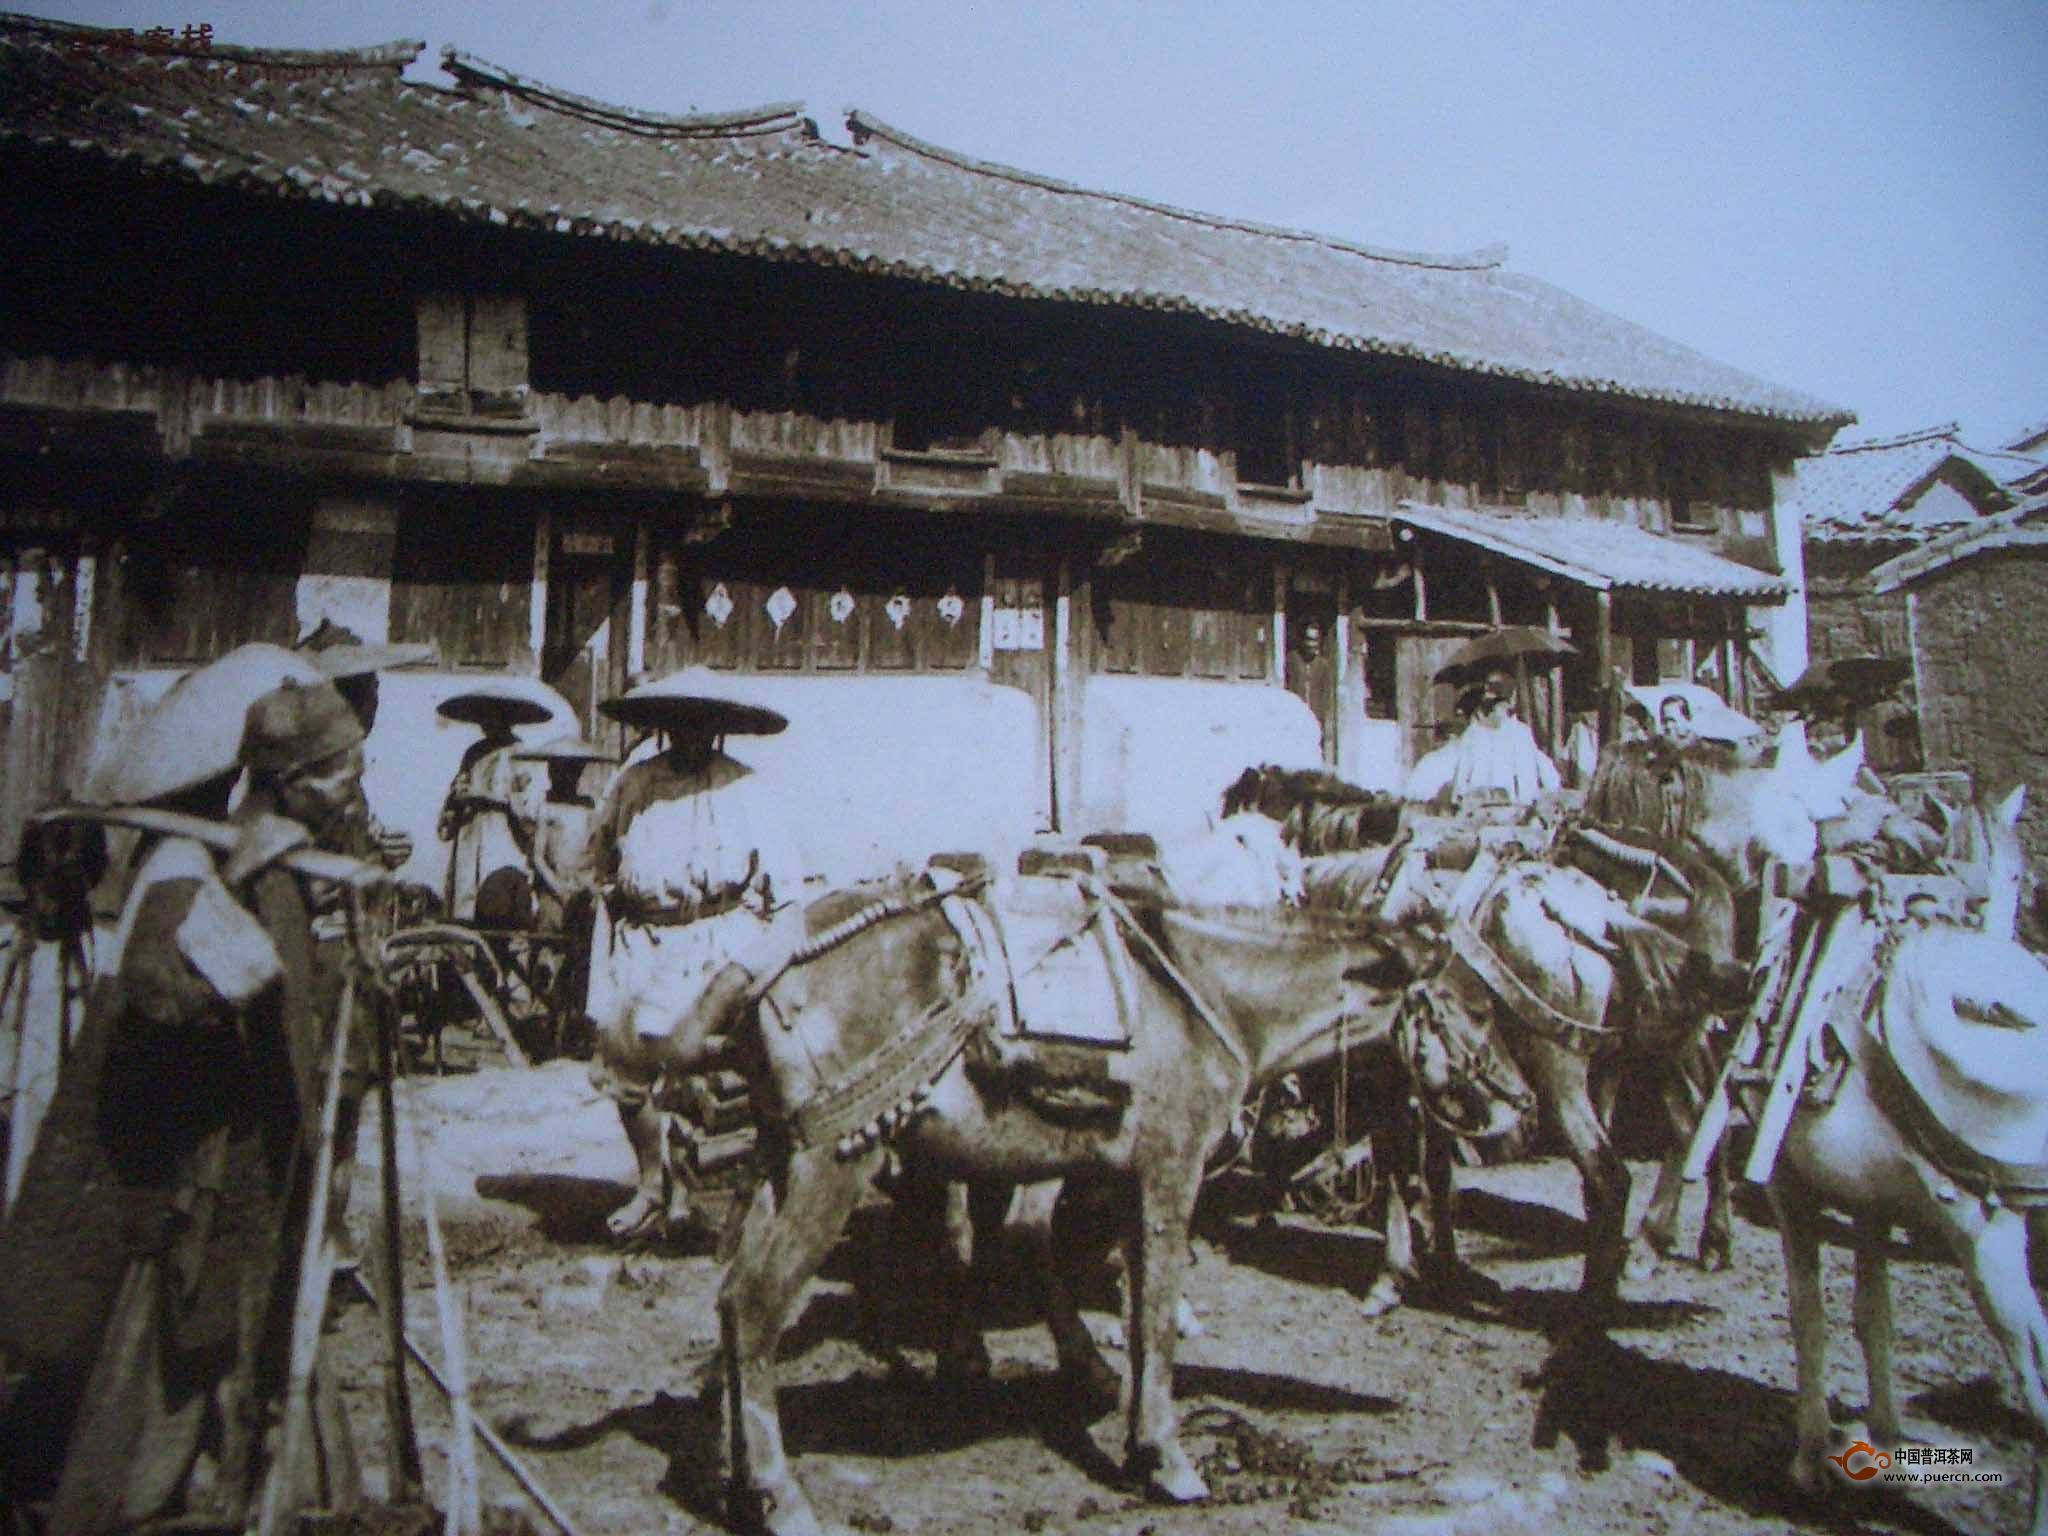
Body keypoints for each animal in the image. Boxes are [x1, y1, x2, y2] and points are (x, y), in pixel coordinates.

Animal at [655, 872, 1474, 1531]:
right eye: (1468, 998)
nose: (1494, 1105)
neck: (1206, 993)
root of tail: (765, 961)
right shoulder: (1170, 1173)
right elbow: (1155, 1319)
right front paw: (1163, 1459)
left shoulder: (1117, 1178)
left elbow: (1121, 1303)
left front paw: (1120, 1411)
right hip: (832, 1164)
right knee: (757, 1306)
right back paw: (779, 1496)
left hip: (780, 1160)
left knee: (730, 1301)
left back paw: (735, 1482)